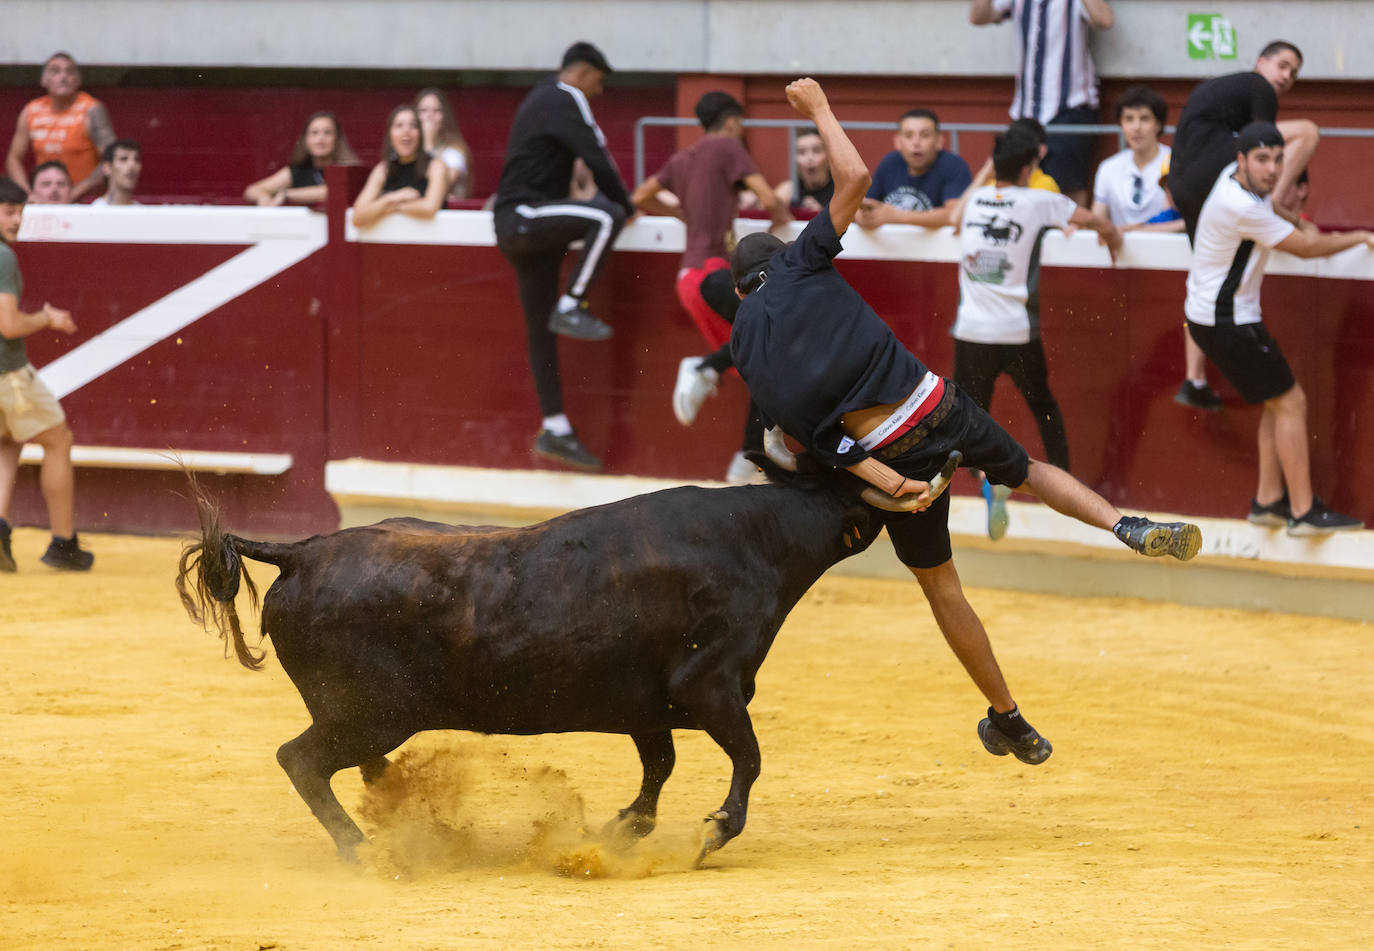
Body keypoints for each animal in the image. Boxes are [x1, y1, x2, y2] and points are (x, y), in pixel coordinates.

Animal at [174, 461, 890, 863]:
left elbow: (660, 764)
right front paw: (715, 831)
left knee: (342, 763)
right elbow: (747, 756)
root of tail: (302, 553)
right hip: (372, 714)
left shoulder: (647, 703)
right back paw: (360, 851)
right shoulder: (710, 686)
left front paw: (623, 830)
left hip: (362, 716)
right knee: (300, 759)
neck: (758, 537)